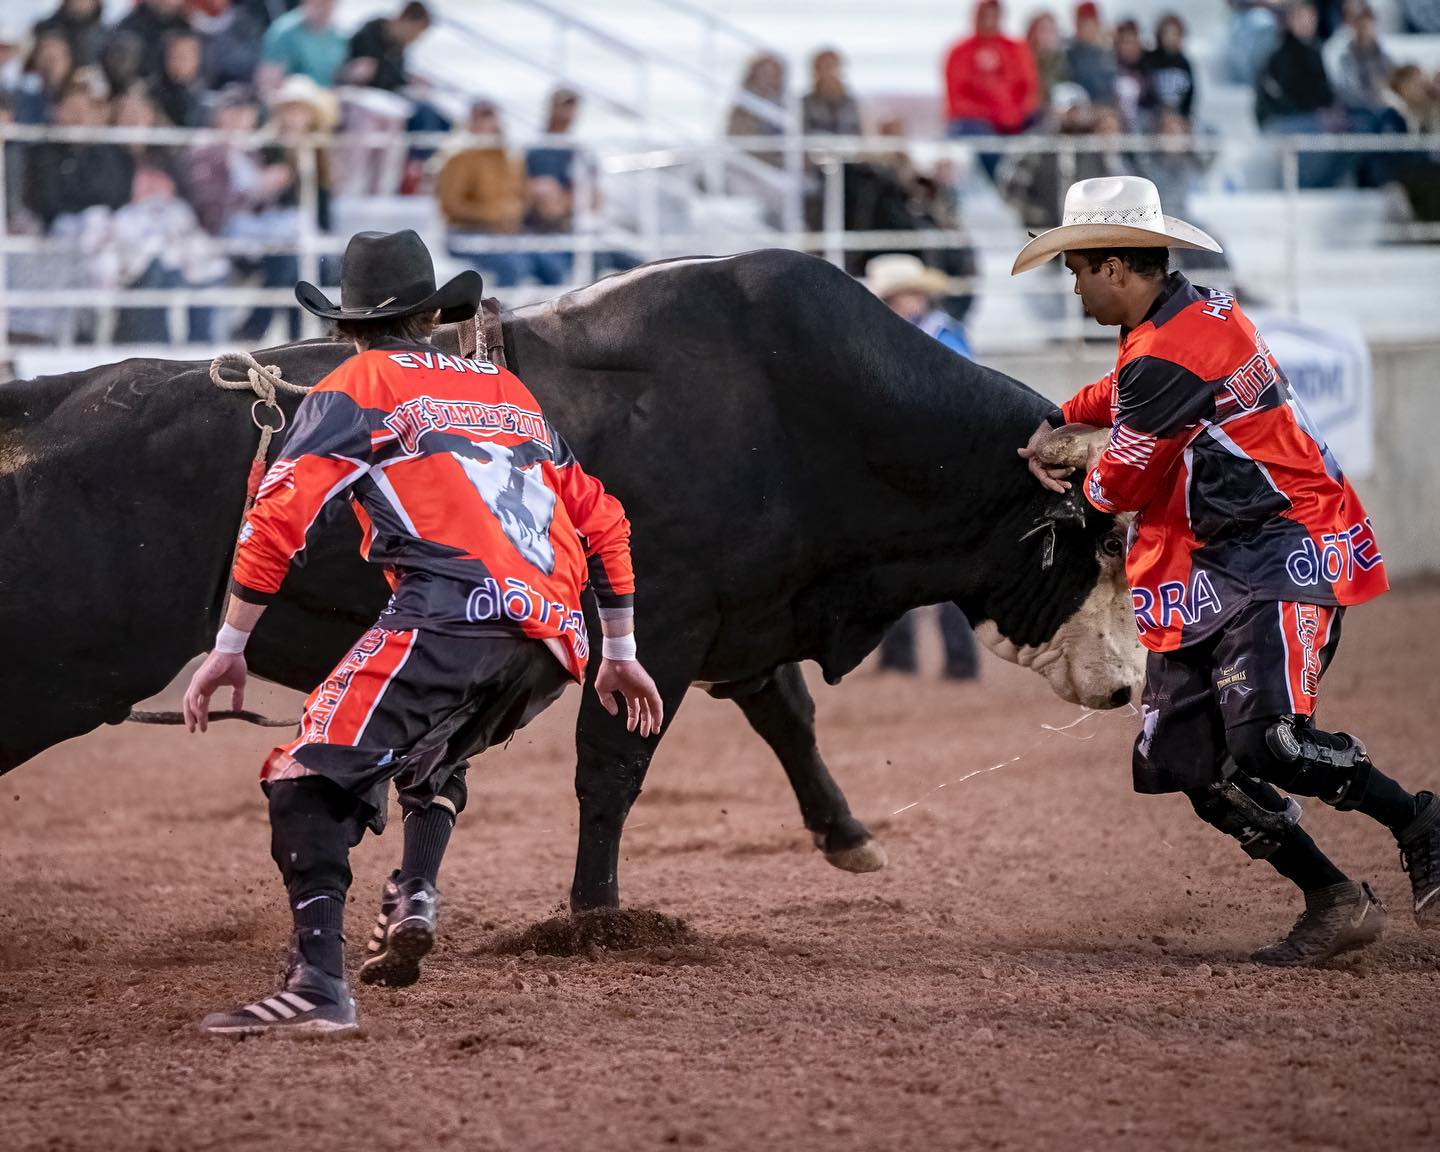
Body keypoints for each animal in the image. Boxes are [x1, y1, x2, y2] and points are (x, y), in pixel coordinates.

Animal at [0, 252, 1123, 910]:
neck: (794, 399)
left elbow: (788, 717)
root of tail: (53, 404)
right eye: (1090, 547)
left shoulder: (735, 614)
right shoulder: (661, 618)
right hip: (61, 669)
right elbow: (612, 768)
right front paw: (594, 910)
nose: (1123, 688)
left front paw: (848, 837)